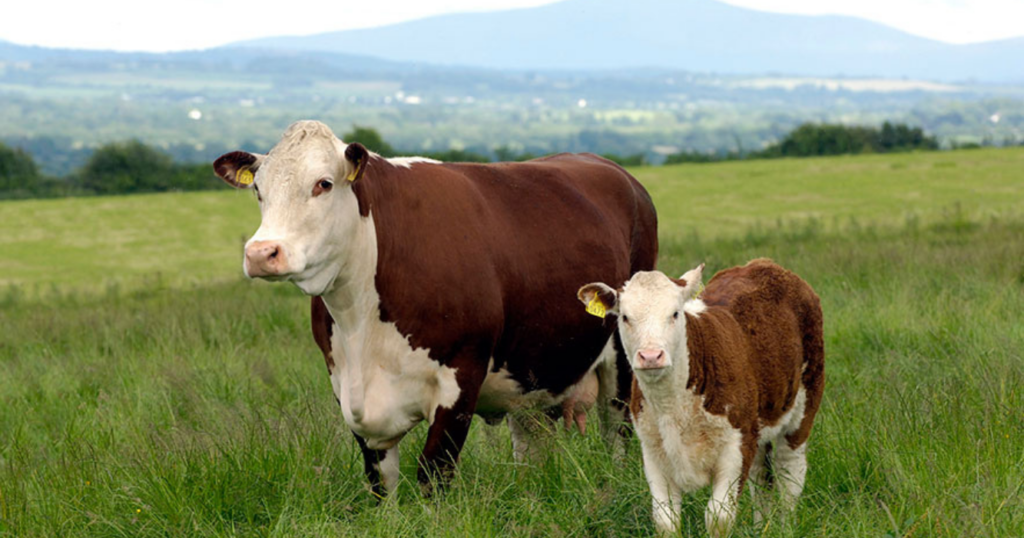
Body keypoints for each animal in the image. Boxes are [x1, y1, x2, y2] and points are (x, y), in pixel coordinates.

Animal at [212, 120, 655, 495]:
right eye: (259, 191)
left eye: (323, 183)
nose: (261, 253)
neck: (361, 323)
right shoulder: (346, 387)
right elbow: (379, 483)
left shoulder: (462, 377)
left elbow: (433, 474)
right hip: (535, 369)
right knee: (532, 444)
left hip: (623, 361)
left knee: (618, 435)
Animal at [577, 259, 823, 532]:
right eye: (625, 316)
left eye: (675, 313)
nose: (651, 356)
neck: (674, 406)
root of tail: (765, 264)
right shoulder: (653, 451)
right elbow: (665, 520)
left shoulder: (736, 444)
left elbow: (718, 516)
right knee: (762, 478)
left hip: (803, 407)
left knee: (789, 474)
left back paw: (785, 526)